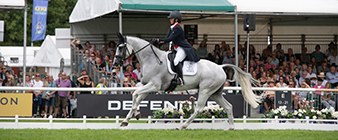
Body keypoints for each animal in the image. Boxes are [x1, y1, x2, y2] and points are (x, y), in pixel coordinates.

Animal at [113, 33, 262, 130]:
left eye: (120, 47)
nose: (115, 64)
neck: (151, 59)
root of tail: (220, 67)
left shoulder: (154, 85)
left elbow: (134, 95)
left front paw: (132, 116)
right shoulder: (147, 86)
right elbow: (137, 98)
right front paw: (128, 119)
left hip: (205, 90)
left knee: (198, 109)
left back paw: (182, 126)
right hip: (215, 93)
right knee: (228, 106)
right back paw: (230, 127)